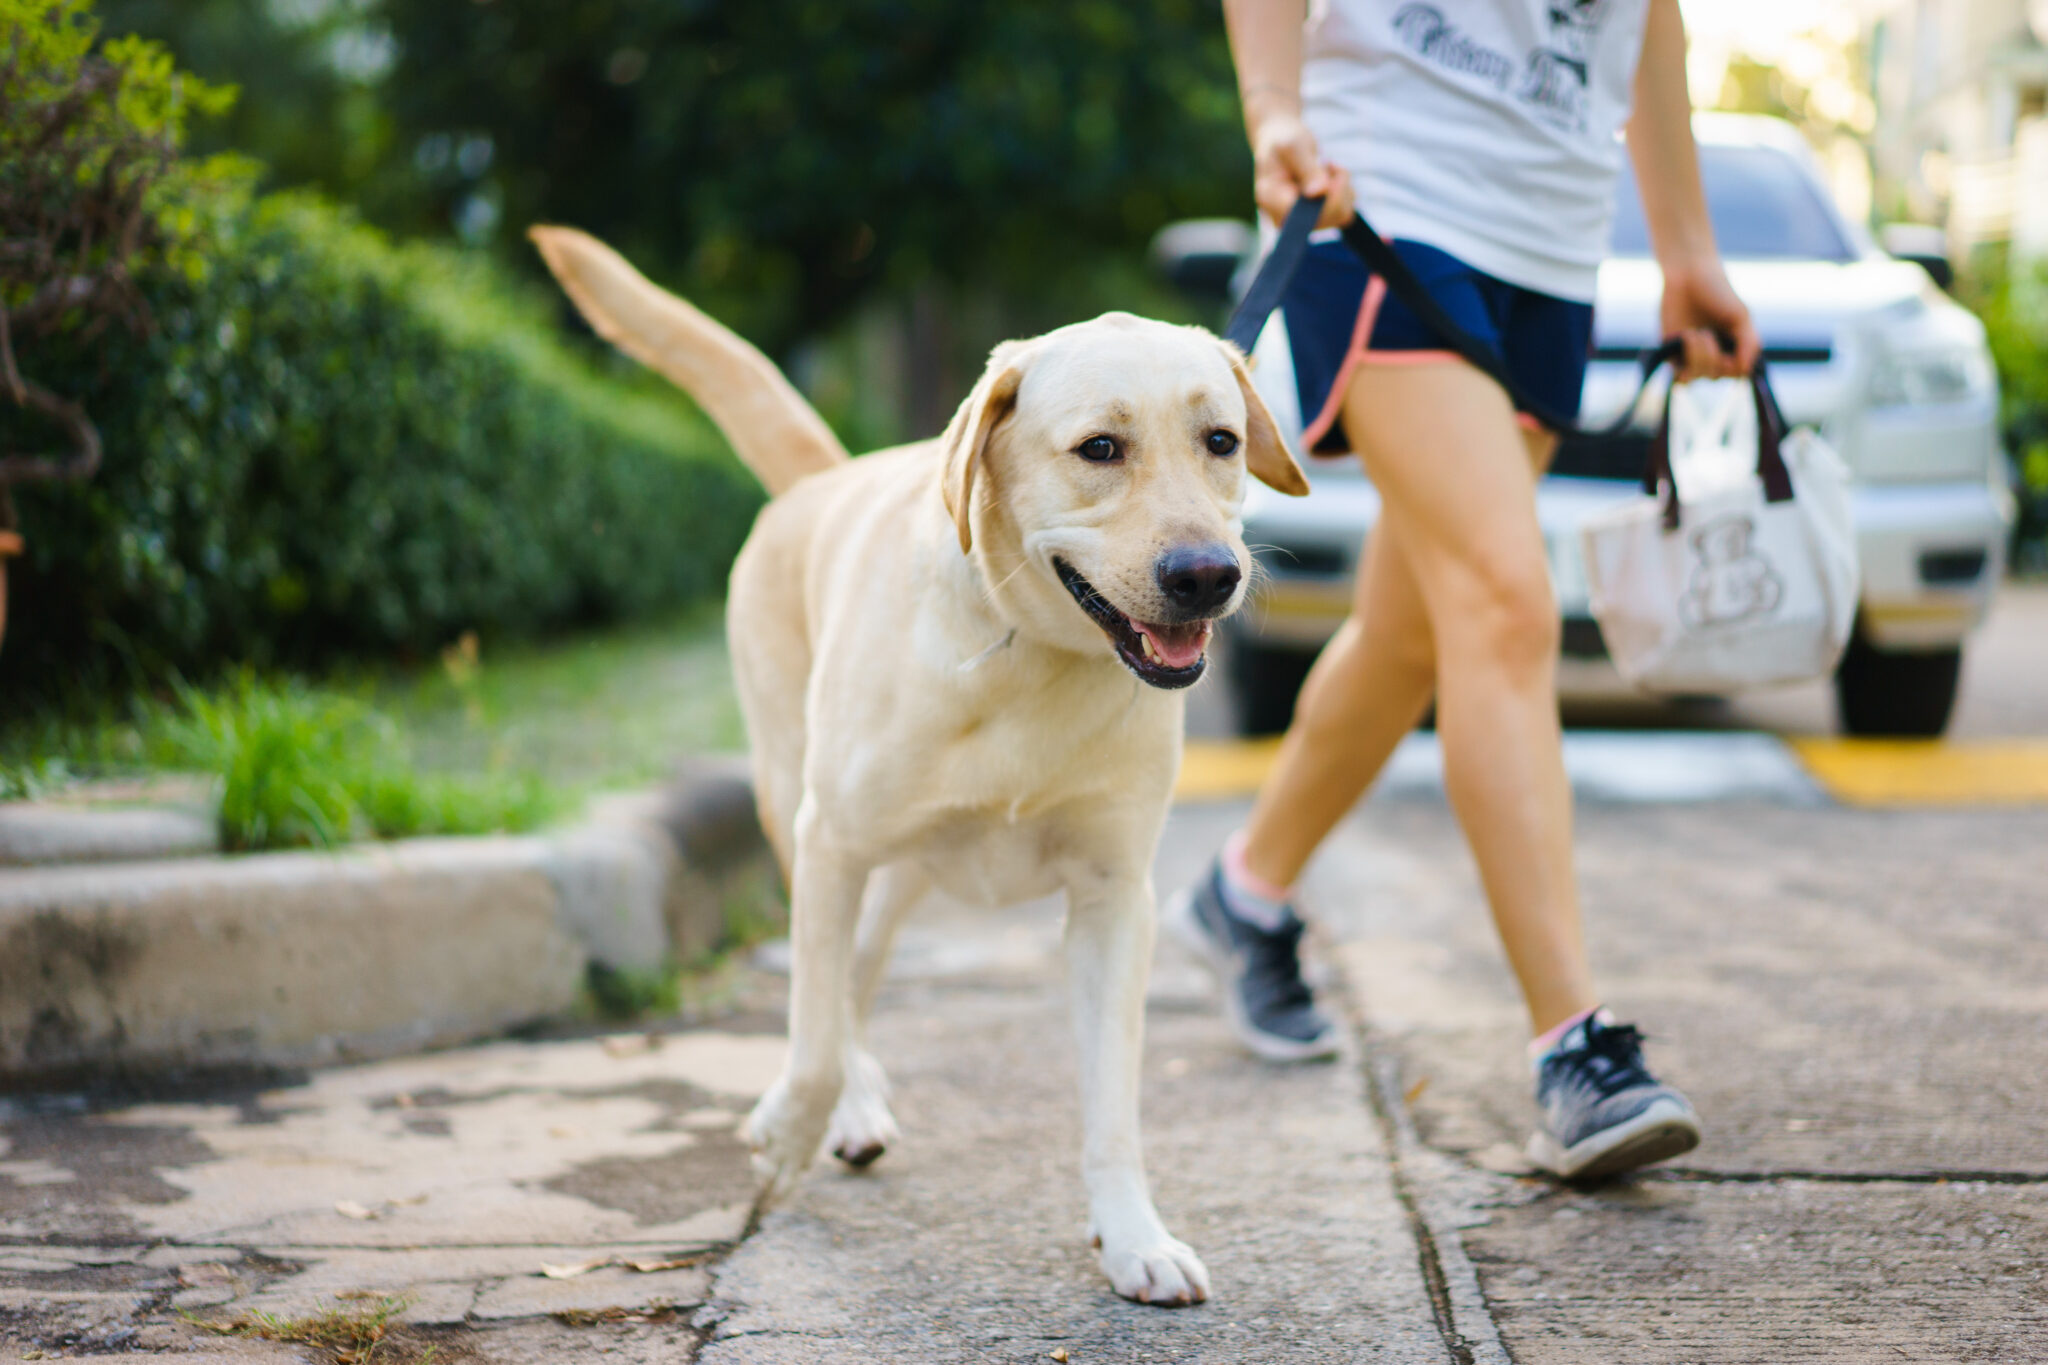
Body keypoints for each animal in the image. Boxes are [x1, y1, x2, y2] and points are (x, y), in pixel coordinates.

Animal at [524, 229, 1294, 1309]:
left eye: (1220, 442)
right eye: (1100, 448)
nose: (1208, 576)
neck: (1030, 657)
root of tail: (819, 478)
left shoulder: (1115, 896)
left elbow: (1113, 1100)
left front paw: (1133, 1234)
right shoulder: (830, 844)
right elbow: (807, 1042)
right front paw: (788, 1133)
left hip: (903, 872)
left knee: (855, 976)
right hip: (800, 811)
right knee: (828, 992)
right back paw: (842, 1110)